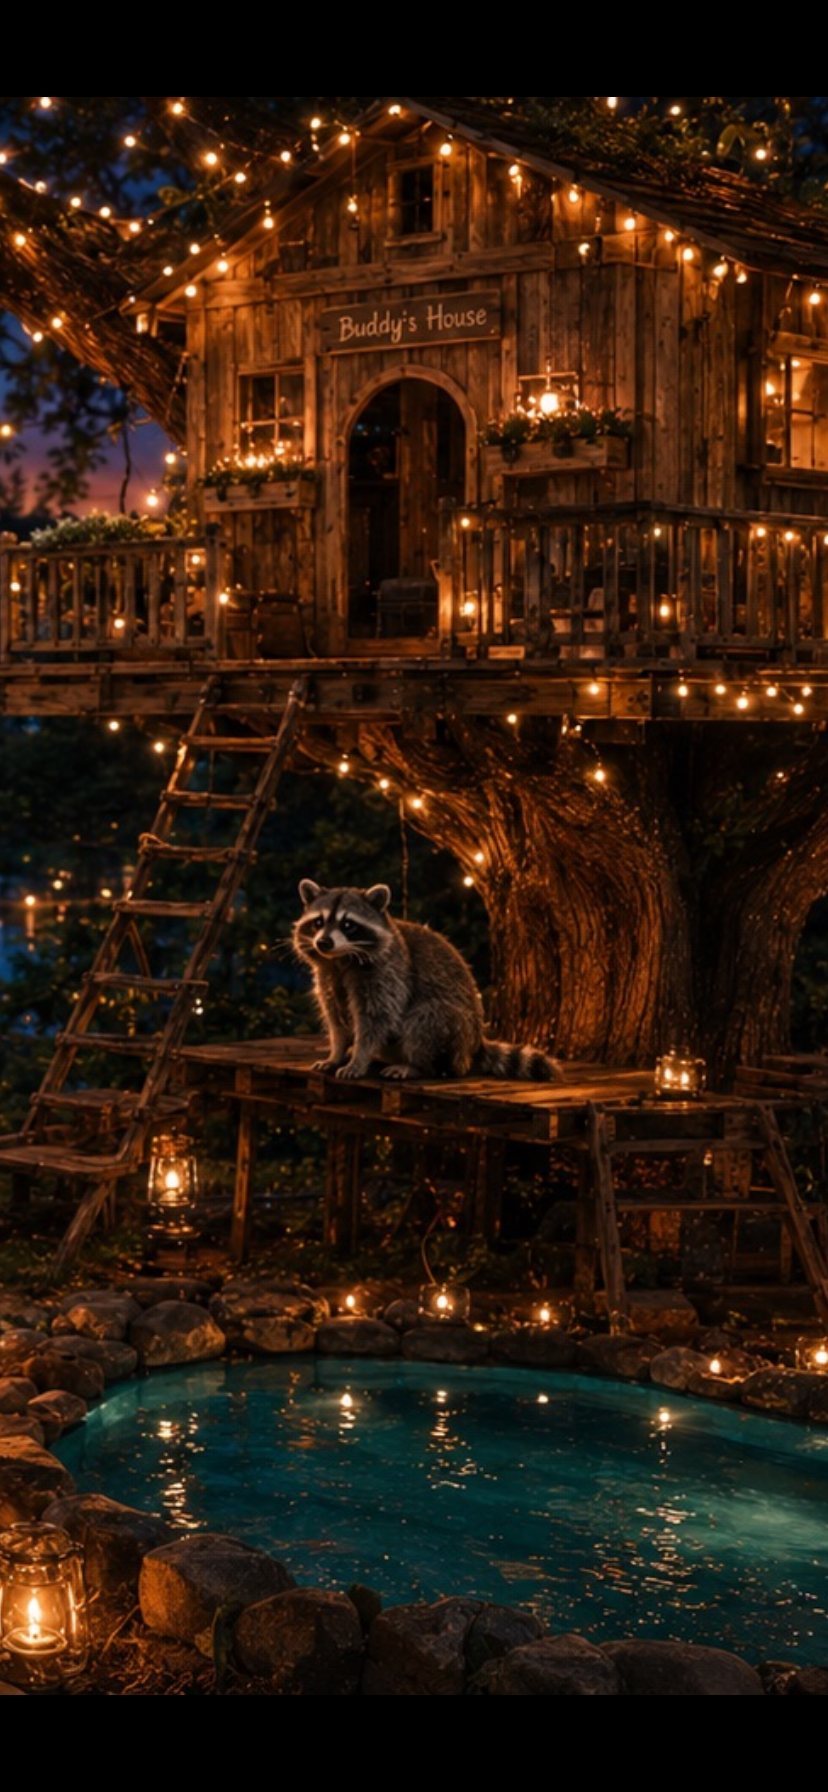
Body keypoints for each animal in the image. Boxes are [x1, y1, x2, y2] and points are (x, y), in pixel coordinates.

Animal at [293, 880, 563, 1083]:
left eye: (348, 924)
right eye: (318, 922)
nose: (323, 942)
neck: (341, 960)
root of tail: (475, 1044)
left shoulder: (390, 973)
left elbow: (376, 1019)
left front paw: (358, 1057)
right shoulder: (327, 977)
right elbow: (336, 1018)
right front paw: (337, 1053)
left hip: (454, 1032)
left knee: (427, 1018)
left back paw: (418, 1066)